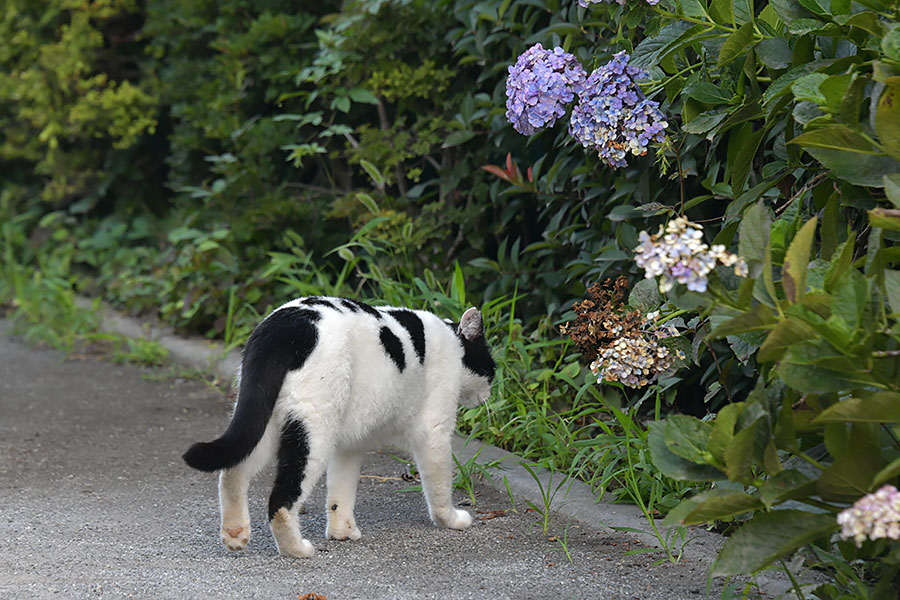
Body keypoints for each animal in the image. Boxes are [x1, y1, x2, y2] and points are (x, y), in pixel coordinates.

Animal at [182, 296, 492, 556]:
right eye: (491, 366)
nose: (490, 391)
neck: (451, 341)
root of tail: (283, 325)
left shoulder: (349, 446)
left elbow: (341, 490)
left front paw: (341, 531)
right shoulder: (435, 433)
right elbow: (440, 485)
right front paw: (450, 520)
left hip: (262, 421)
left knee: (232, 471)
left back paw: (235, 533)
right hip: (312, 432)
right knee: (280, 500)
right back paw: (296, 549)